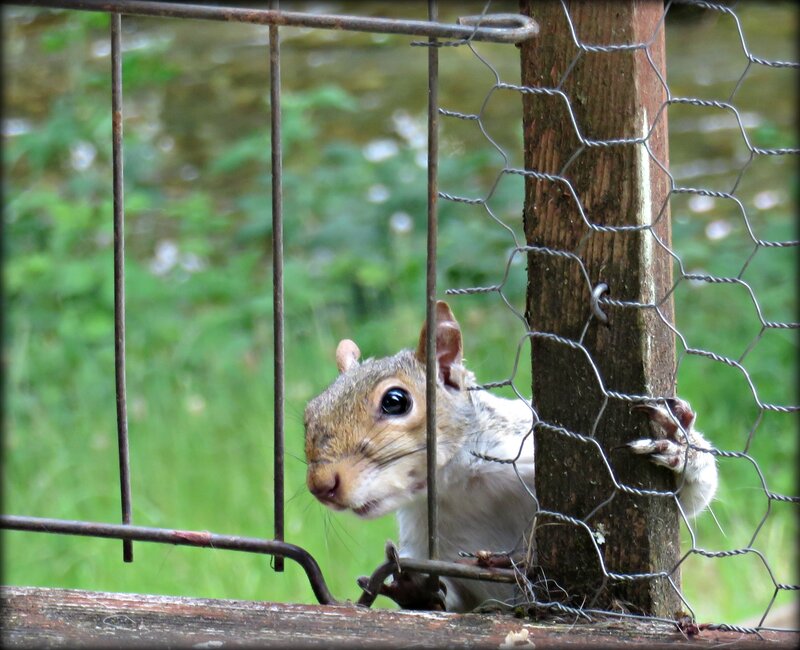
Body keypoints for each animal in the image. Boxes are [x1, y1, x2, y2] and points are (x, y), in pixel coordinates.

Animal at [304, 301, 718, 612]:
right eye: (309, 412)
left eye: (395, 401)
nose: (321, 485)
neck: (460, 489)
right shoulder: (426, 540)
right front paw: (414, 589)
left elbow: (685, 502)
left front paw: (678, 444)